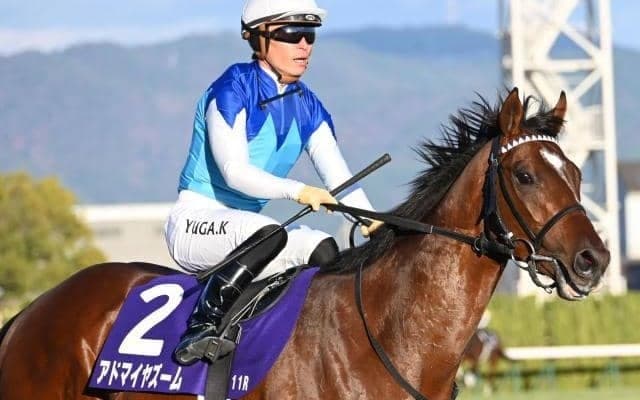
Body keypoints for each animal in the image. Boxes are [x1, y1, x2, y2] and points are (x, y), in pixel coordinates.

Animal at [0, 88, 609, 400]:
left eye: (578, 173)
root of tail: (27, 313)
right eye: (525, 175)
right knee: (266, 235)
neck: (390, 334)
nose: (593, 260)